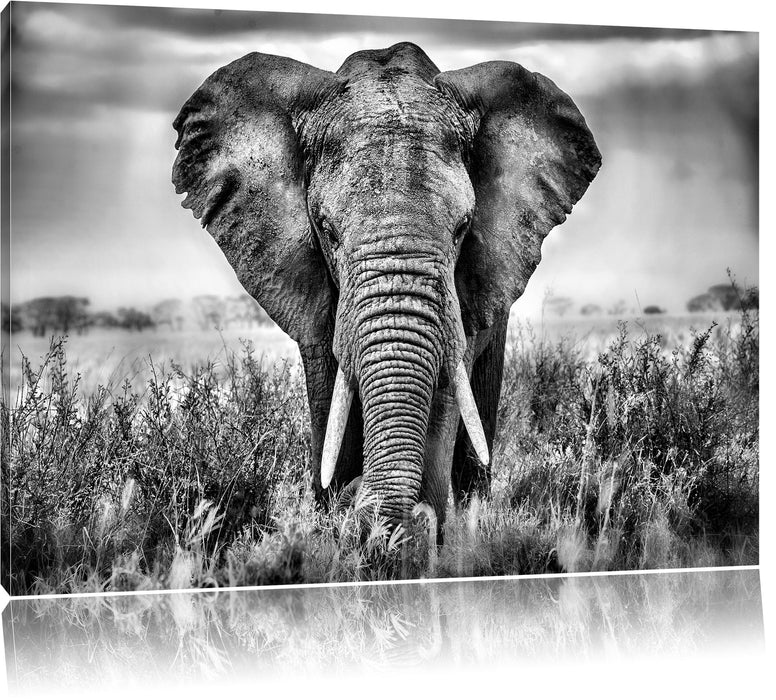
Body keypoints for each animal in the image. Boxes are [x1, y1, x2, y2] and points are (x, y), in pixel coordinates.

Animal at [172, 42, 601, 532]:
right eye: (327, 231)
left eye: (463, 228)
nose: (361, 503)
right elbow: (330, 395)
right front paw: (338, 516)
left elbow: (445, 392)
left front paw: (414, 533)